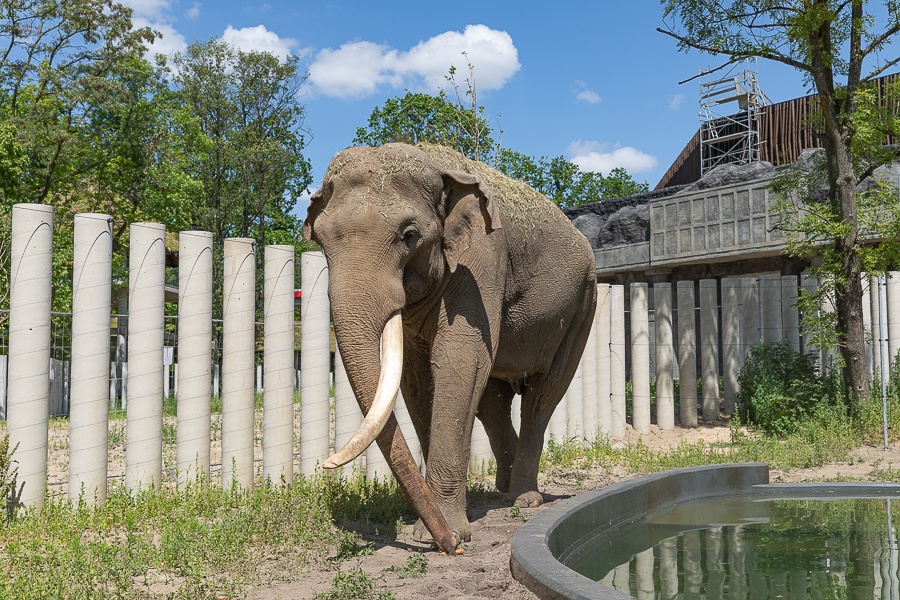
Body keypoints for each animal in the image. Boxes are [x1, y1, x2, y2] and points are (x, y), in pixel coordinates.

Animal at [304, 144, 596, 548]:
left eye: (409, 235)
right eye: (320, 239)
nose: (450, 548)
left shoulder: (481, 261)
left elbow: (460, 361)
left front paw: (442, 532)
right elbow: (416, 380)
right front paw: (430, 529)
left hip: (582, 306)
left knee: (543, 395)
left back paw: (524, 500)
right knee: (493, 400)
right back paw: (502, 490)